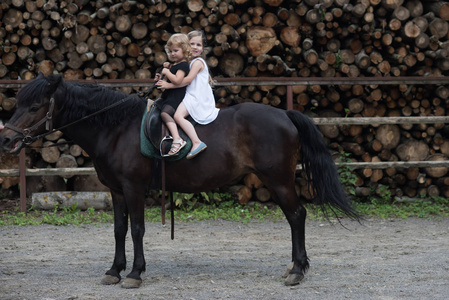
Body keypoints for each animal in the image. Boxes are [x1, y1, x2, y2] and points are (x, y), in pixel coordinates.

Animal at [0, 73, 356, 288]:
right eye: (19, 103)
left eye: (34, 106)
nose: (6, 140)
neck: (115, 128)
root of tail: (284, 114)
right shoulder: (116, 190)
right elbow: (118, 230)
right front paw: (114, 270)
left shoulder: (133, 188)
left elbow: (137, 229)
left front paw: (135, 273)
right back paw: (295, 267)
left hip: (278, 180)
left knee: (297, 216)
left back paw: (297, 270)